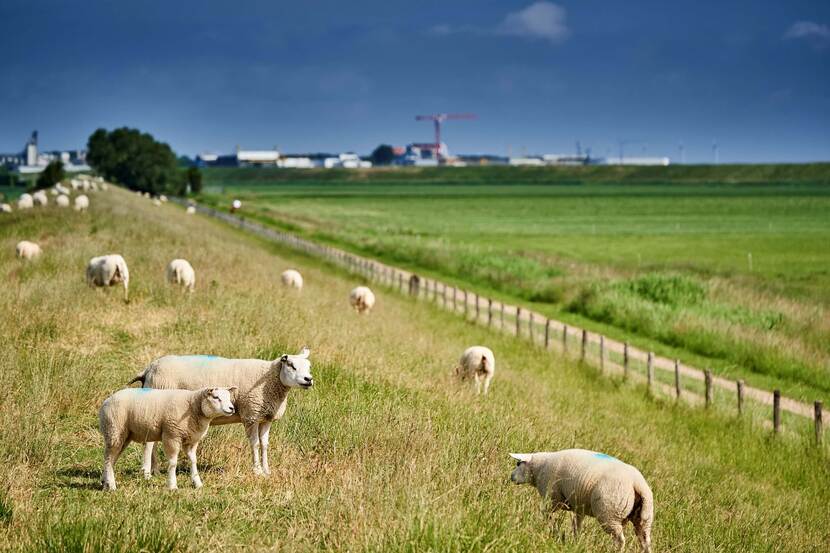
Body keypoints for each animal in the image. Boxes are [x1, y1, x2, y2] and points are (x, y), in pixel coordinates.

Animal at [130, 348, 316, 476]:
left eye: (309, 366)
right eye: (291, 366)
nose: (309, 379)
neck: (270, 379)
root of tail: (148, 369)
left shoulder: (266, 417)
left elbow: (264, 445)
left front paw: (266, 470)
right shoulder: (251, 414)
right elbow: (255, 444)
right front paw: (257, 471)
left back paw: (155, 470)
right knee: (149, 443)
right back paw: (147, 473)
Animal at [508, 448, 656, 552]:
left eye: (518, 463)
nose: (511, 477)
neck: (539, 467)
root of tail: (637, 483)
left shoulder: (552, 498)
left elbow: (546, 514)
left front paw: (547, 528)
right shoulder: (579, 507)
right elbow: (576, 525)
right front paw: (575, 542)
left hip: (609, 513)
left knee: (620, 540)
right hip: (644, 518)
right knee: (645, 542)